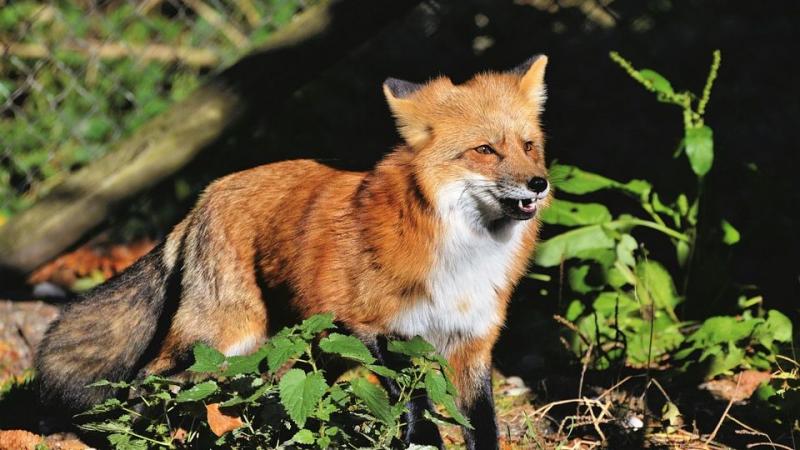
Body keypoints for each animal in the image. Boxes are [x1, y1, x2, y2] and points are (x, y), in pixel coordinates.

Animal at [36, 54, 552, 448]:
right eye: (485, 150)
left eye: (529, 146)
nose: (539, 183)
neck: (463, 254)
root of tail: (208, 192)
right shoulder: (373, 328)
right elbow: (415, 409)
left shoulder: (472, 345)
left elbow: (480, 427)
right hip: (222, 337)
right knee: (148, 379)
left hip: (301, 346)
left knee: (261, 393)